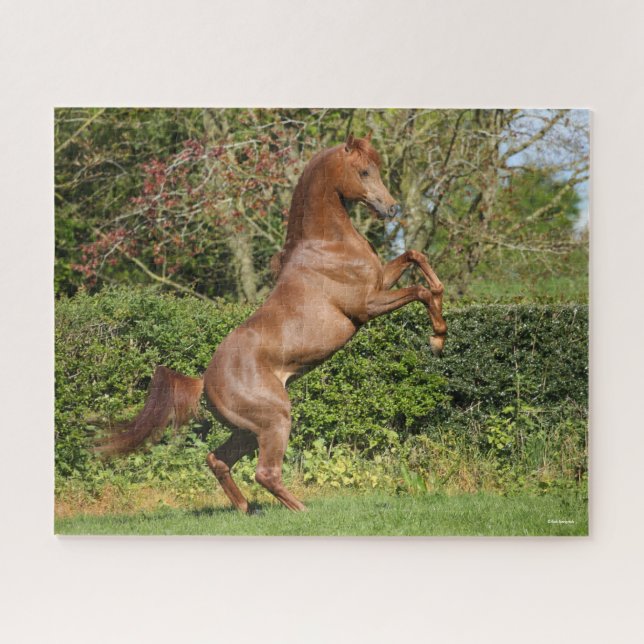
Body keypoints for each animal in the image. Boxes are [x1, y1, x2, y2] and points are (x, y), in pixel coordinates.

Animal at [97, 134, 447, 512]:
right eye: (364, 171)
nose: (392, 209)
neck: (328, 245)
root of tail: (203, 383)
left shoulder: (382, 282)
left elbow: (416, 257)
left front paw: (440, 318)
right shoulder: (367, 306)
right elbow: (420, 291)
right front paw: (438, 339)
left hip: (247, 431)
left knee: (218, 460)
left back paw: (246, 510)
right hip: (275, 420)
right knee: (265, 473)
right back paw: (301, 511)